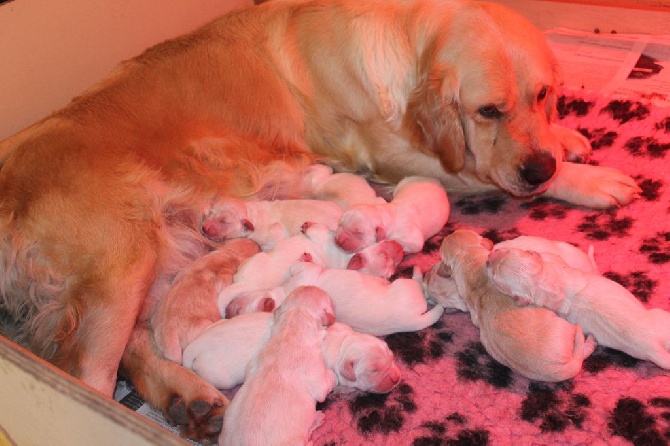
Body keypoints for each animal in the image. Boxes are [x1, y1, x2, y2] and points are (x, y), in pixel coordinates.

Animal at [219, 286, 336, 446]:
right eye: (329, 300)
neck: (292, 327)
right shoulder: (316, 377)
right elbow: (326, 384)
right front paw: (333, 375)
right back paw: (316, 420)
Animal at [488, 247, 670, 370]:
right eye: (495, 279)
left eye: (505, 251)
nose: (488, 257)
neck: (541, 284)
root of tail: (651, 346)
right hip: (661, 320)